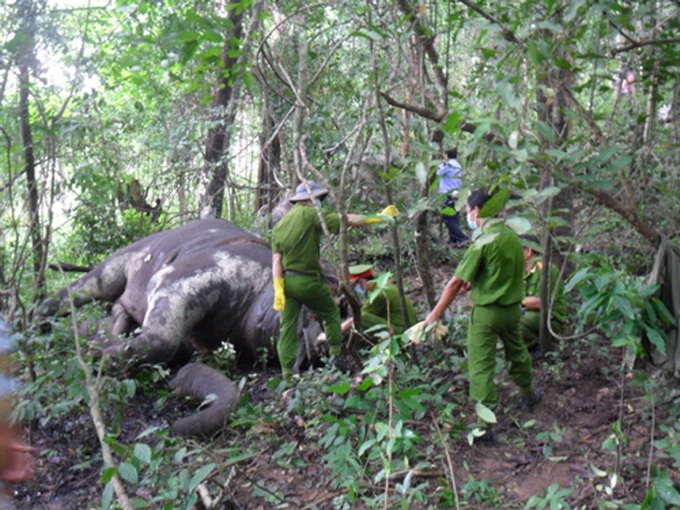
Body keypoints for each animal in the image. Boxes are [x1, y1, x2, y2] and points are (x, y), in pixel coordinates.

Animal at [40, 218, 332, 437]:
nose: (315, 349)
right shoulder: (181, 277)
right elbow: (161, 339)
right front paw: (99, 358)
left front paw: (100, 350)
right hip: (118, 263)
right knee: (82, 289)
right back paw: (37, 319)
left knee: (113, 313)